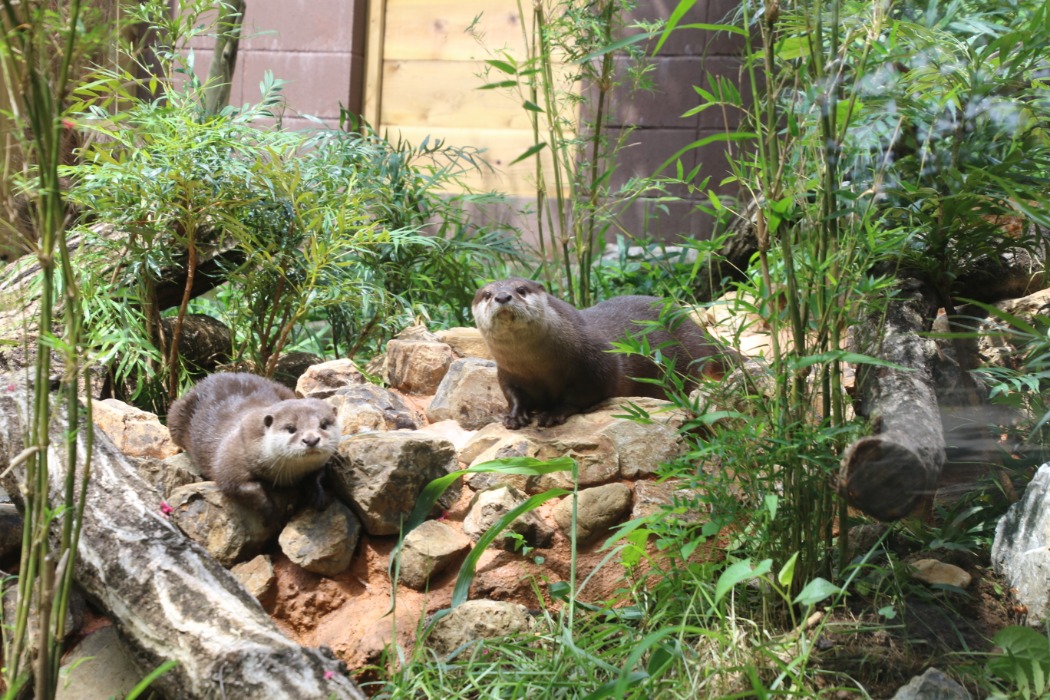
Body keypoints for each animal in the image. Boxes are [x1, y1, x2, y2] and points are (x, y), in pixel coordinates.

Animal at [168, 371, 338, 514]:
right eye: (291, 428)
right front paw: (271, 509)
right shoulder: (230, 458)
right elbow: (239, 485)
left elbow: (319, 474)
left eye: (324, 425)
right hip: (175, 415)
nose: (311, 440)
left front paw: (318, 494)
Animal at [472, 277, 734, 430]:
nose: (502, 296)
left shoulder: (597, 363)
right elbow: (513, 395)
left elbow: (583, 394)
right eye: (486, 295)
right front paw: (515, 416)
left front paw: (553, 414)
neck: (537, 366)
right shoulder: (508, 372)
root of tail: (697, 328)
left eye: (521, 290)